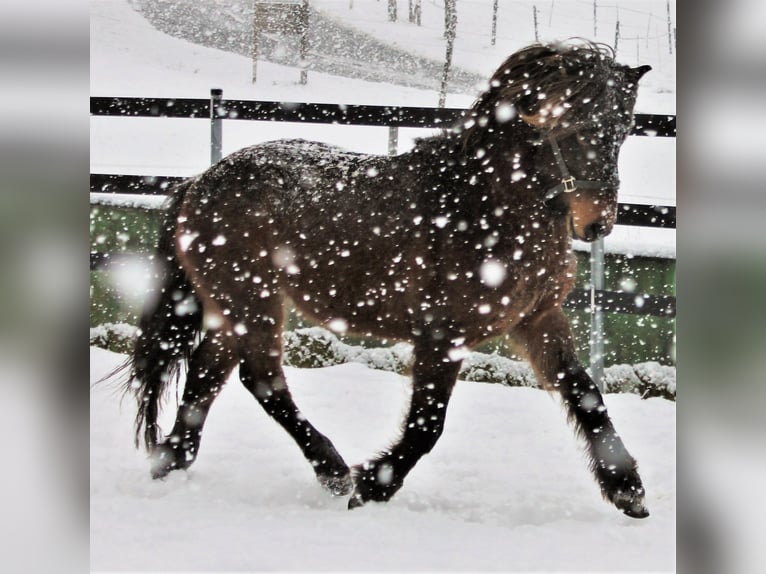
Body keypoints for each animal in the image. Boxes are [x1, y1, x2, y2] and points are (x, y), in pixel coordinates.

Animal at [121, 40, 656, 516]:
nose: (598, 222)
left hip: (233, 304)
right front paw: (373, 485)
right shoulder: (442, 336)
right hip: (252, 300)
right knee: (261, 380)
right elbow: (427, 425)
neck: (482, 206)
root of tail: (198, 183)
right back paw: (333, 471)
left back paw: (172, 460)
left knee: (208, 375)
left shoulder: (538, 319)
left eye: (624, 128)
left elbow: (586, 395)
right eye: (573, 124)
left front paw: (627, 489)